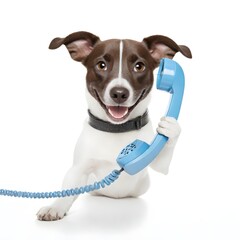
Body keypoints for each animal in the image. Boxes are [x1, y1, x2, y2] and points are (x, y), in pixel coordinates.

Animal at [37, 31, 191, 221]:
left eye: (139, 66)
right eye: (101, 65)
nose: (119, 93)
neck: (117, 128)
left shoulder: (153, 160)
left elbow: (163, 161)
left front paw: (170, 126)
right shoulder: (79, 168)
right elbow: (68, 188)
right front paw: (55, 206)